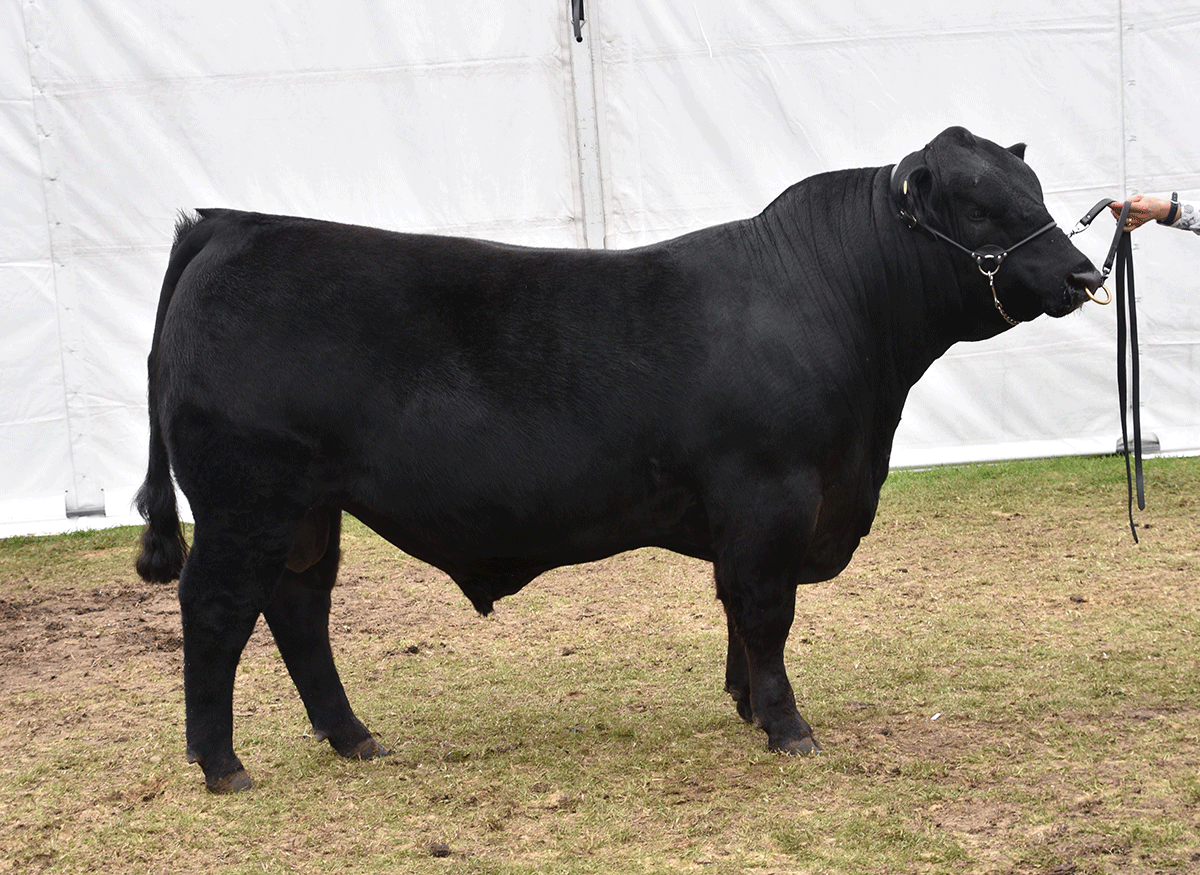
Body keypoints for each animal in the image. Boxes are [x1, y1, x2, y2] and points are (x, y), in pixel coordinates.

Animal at [136, 126, 1104, 792]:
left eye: (1034, 190)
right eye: (979, 207)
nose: (1083, 275)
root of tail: (233, 224)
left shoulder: (748, 511)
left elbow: (735, 607)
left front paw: (746, 706)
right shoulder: (772, 493)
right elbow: (766, 610)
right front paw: (788, 726)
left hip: (307, 506)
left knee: (299, 608)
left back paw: (354, 737)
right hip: (247, 496)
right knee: (218, 607)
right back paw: (222, 764)